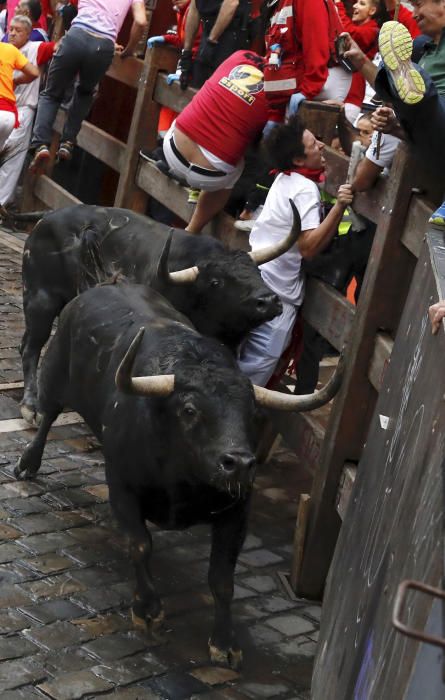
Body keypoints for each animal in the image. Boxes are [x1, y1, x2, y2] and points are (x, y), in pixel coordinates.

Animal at [15, 284, 344, 668]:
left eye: (252, 412)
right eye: (190, 410)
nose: (238, 463)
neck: (184, 480)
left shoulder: (237, 513)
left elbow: (222, 579)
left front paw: (224, 642)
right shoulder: (122, 488)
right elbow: (140, 545)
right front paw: (148, 608)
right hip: (55, 374)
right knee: (48, 415)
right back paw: (27, 462)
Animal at [19, 202, 300, 422]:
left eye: (257, 271)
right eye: (216, 281)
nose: (268, 300)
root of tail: (47, 218)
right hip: (40, 300)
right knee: (31, 347)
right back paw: (30, 405)